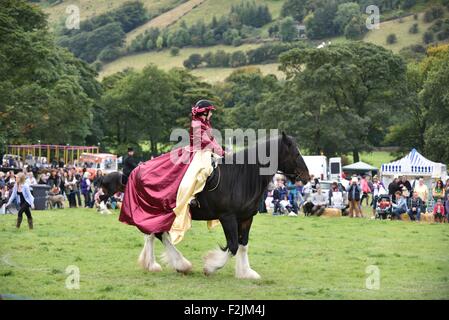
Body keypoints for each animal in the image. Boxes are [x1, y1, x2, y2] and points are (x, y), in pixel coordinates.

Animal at [138, 132, 310, 278]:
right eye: (296, 153)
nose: (307, 177)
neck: (240, 177)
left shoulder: (246, 218)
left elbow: (243, 244)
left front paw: (245, 272)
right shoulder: (228, 217)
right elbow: (233, 246)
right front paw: (210, 267)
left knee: (152, 234)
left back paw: (152, 264)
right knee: (158, 234)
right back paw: (181, 265)